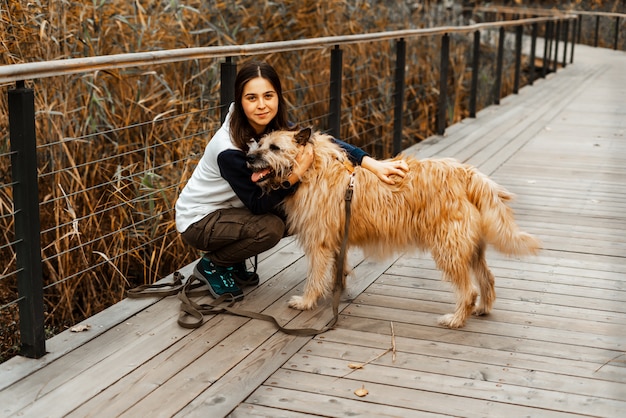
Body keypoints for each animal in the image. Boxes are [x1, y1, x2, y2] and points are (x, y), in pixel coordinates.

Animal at [246, 129, 540, 328]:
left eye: (274, 147)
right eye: (260, 144)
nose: (248, 158)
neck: (313, 168)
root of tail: (466, 173)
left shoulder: (319, 243)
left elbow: (314, 277)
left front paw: (307, 302)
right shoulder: (336, 240)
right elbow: (338, 269)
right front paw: (337, 290)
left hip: (449, 247)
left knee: (468, 291)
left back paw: (456, 319)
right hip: (470, 247)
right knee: (487, 278)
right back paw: (483, 309)